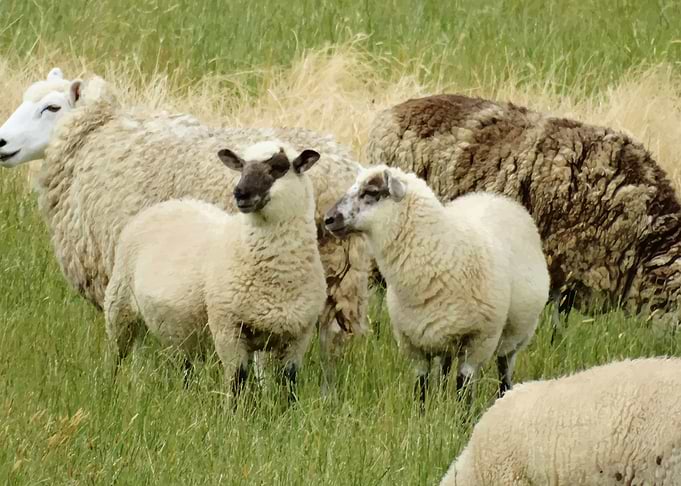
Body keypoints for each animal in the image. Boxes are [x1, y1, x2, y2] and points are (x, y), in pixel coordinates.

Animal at [105, 140, 327, 401]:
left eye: (279, 167)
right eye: (241, 166)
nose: (240, 193)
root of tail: (171, 202)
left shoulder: (298, 336)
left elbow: (288, 386)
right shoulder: (227, 328)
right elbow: (237, 382)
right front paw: (234, 411)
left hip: (181, 329)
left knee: (181, 366)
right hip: (119, 307)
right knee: (118, 357)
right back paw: (111, 391)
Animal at [324, 165, 550, 405]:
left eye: (371, 192)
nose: (328, 219)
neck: (438, 251)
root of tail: (494, 197)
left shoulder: (478, 341)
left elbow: (463, 391)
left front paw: (461, 416)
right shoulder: (413, 343)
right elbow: (421, 388)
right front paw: (423, 412)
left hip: (516, 335)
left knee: (504, 372)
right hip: (444, 338)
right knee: (443, 371)